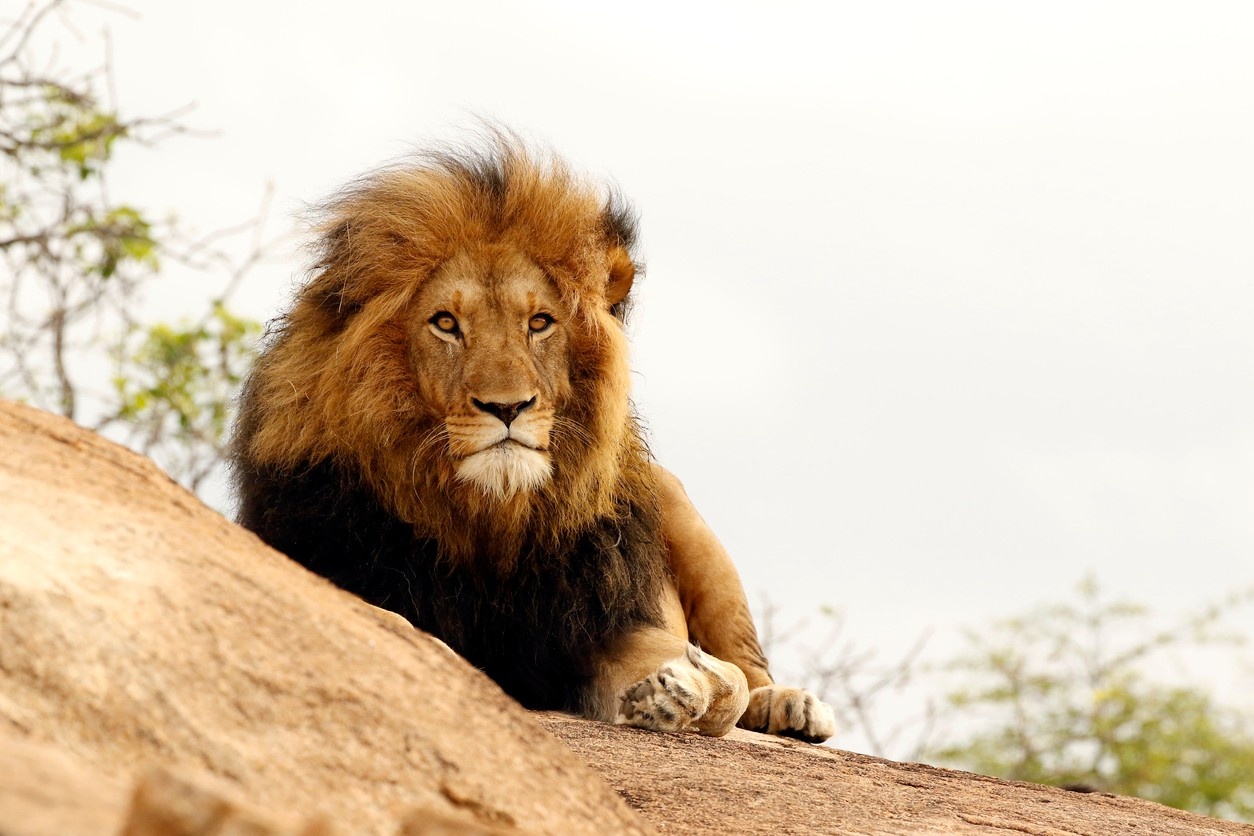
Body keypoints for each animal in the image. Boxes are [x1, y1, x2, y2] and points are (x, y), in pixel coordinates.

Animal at [233, 137, 842, 747]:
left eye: (541, 322)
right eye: (446, 323)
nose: (507, 407)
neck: (489, 517)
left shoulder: (590, 623)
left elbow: (727, 681)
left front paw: (676, 691)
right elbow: (400, 630)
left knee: (747, 661)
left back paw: (791, 706)